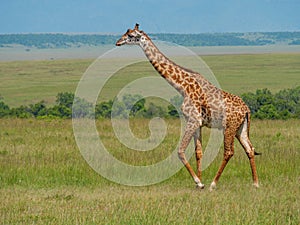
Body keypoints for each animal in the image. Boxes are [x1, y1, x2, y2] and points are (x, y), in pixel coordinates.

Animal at [115, 24, 260, 190]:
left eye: (131, 35)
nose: (118, 42)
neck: (182, 86)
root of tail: (246, 109)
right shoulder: (198, 123)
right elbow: (198, 152)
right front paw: (199, 182)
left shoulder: (192, 120)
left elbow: (180, 151)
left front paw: (199, 182)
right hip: (240, 127)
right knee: (250, 149)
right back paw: (255, 183)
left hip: (229, 126)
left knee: (229, 151)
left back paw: (213, 184)